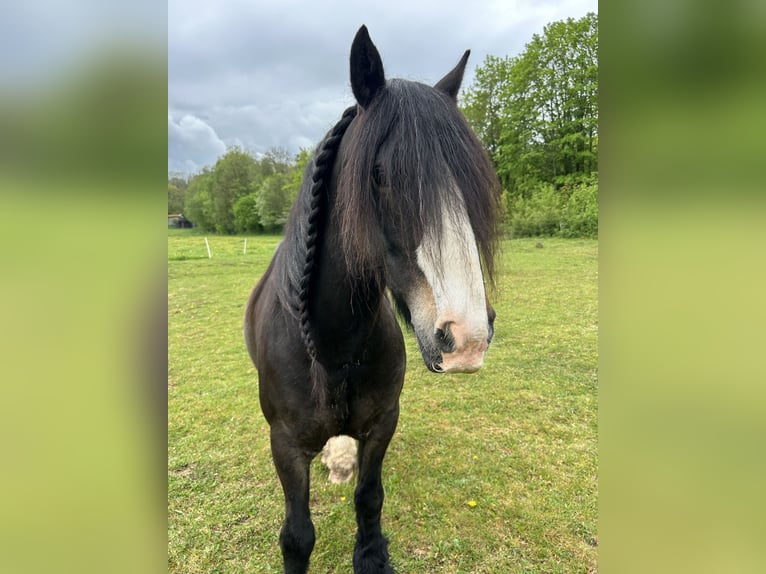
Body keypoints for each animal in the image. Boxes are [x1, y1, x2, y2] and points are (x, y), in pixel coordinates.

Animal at [244, 25, 500, 574]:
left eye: (469, 180)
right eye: (380, 175)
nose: (467, 336)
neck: (334, 347)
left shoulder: (384, 423)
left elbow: (369, 497)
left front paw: (370, 550)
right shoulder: (285, 444)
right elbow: (297, 534)